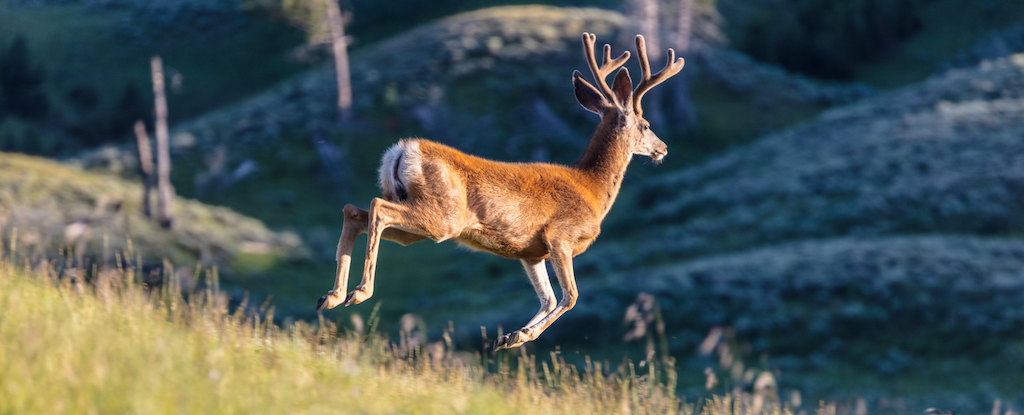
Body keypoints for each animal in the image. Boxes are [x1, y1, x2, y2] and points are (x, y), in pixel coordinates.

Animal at [315, 33, 684, 348]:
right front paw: (520, 335)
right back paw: (359, 292)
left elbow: (547, 297)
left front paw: (510, 337)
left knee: (356, 211)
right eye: (646, 124)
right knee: (376, 208)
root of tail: (401, 150)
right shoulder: (560, 236)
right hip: (442, 216)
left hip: (414, 224)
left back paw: (331, 296)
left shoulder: (530, 252)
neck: (591, 188)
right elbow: (571, 296)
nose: (663, 148)